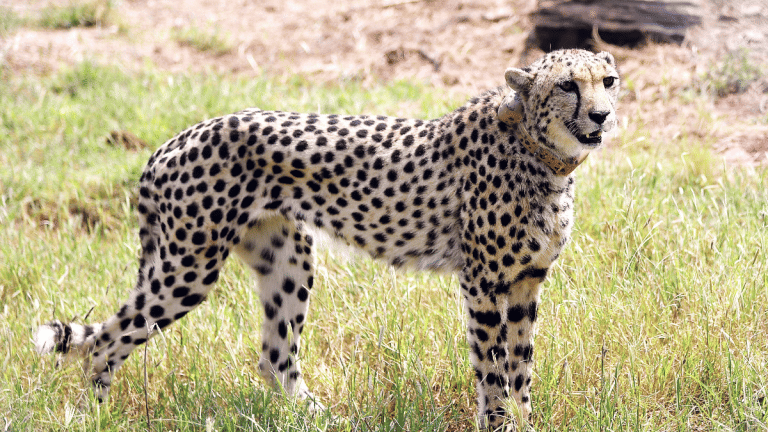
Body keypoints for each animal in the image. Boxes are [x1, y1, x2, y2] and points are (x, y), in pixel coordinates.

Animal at [34, 48, 620, 430]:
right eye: (567, 85)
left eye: (608, 81)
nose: (602, 115)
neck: (542, 153)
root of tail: (172, 141)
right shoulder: (482, 282)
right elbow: (492, 367)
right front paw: (500, 424)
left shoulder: (526, 282)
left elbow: (521, 367)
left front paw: (526, 420)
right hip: (187, 268)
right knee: (106, 341)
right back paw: (92, 416)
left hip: (287, 260)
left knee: (274, 355)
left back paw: (320, 418)